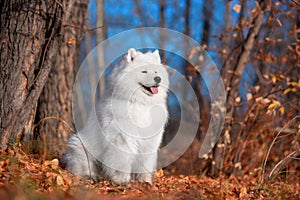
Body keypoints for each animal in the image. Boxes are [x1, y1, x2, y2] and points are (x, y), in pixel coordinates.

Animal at [62, 48, 170, 184]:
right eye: (144, 71)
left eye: (156, 71)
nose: (158, 78)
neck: (140, 103)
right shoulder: (122, 140)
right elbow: (122, 162)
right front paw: (122, 180)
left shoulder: (150, 142)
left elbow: (145, 165)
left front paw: (145, 182)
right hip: (80, 146)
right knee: (80, 169)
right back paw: (91, 176)